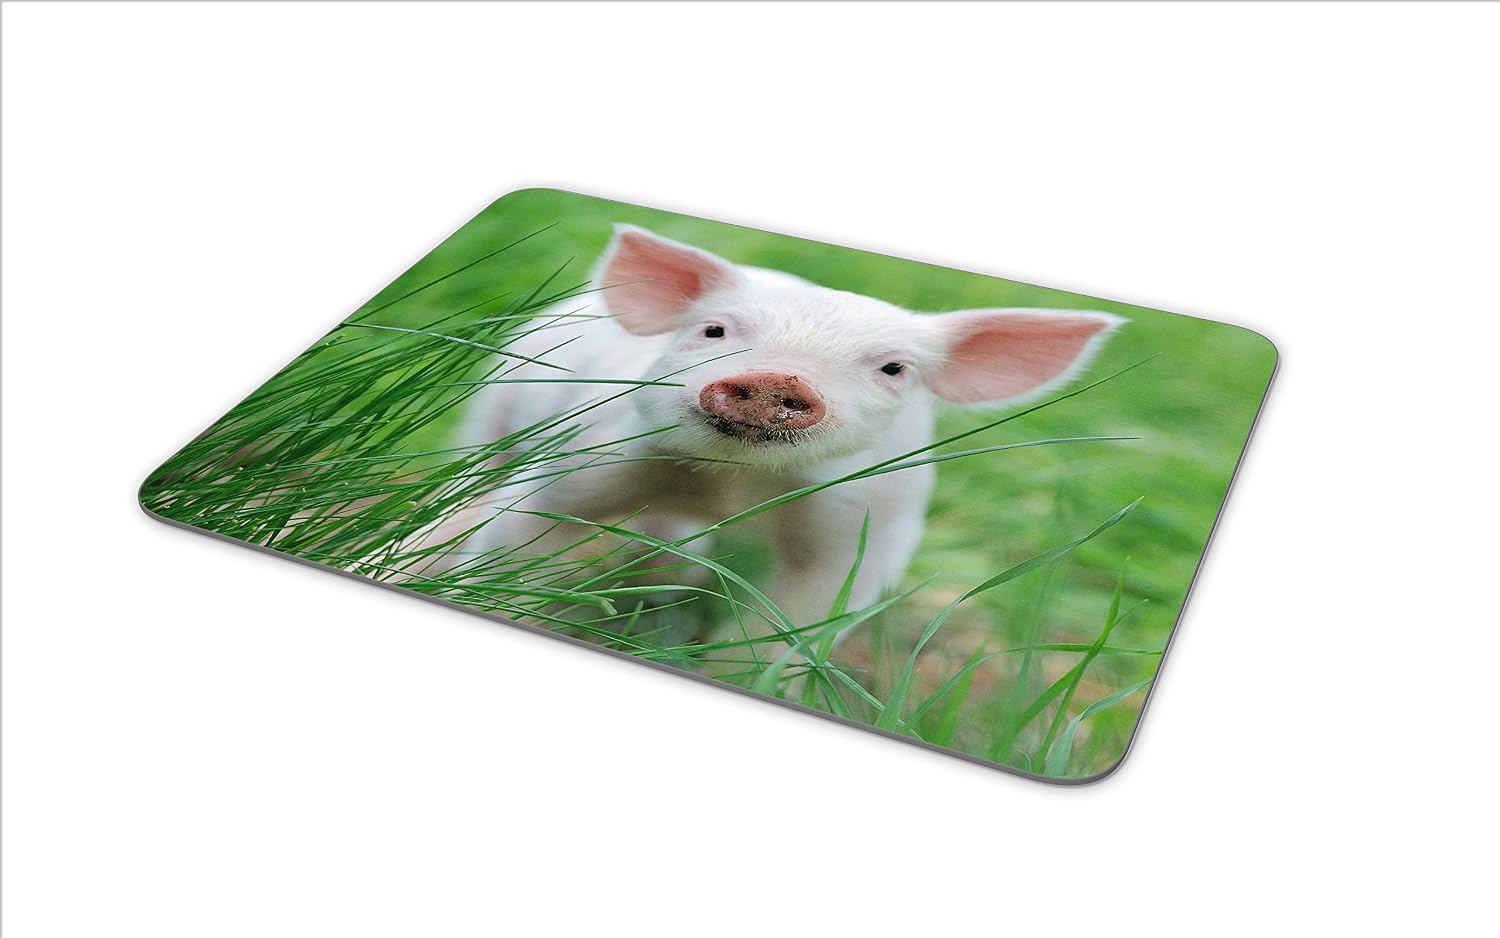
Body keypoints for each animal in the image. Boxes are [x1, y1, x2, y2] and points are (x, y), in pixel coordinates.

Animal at [425, 225, 1123, 658]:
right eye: (713, 330)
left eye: (893, 369)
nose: (776, 377)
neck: (732, 485)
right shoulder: (585, 456)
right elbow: (517, 536)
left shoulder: (867, 527)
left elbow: (797, 627)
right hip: (495, 400)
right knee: (473, 474)